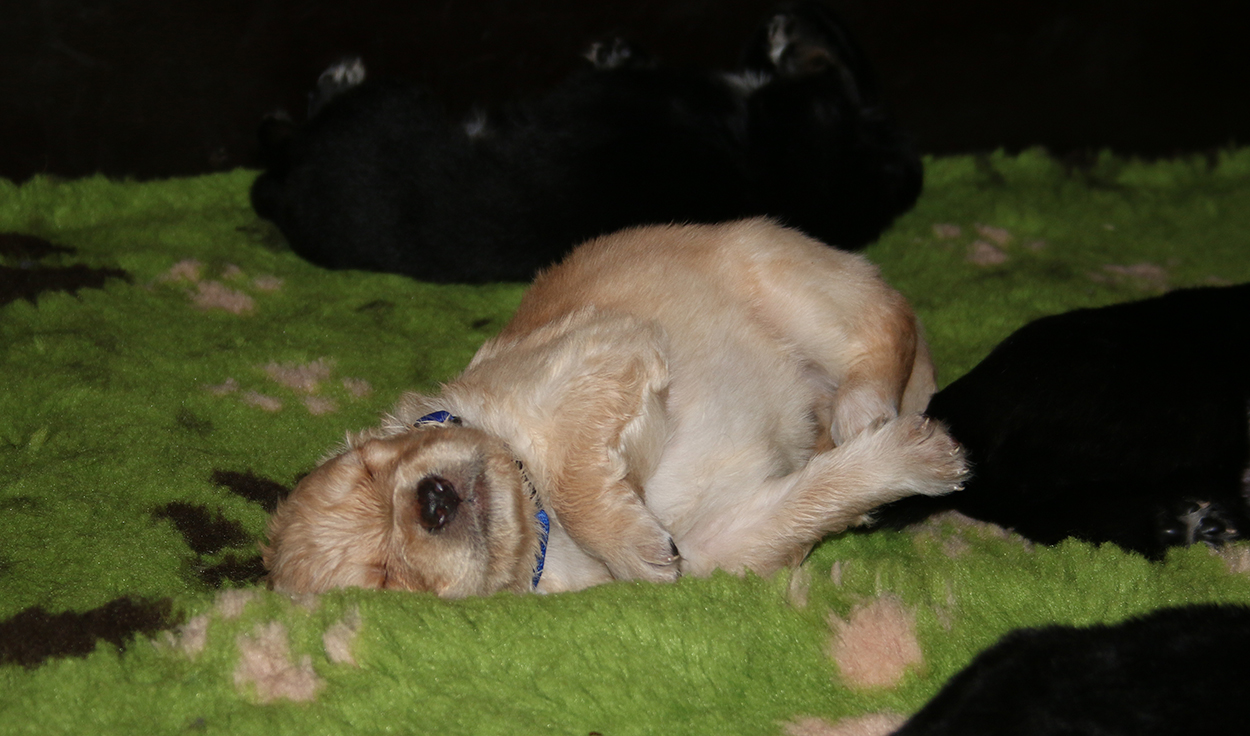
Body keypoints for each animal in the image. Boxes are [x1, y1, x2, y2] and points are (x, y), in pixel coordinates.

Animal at [262, 218, 967, 596]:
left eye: (373, 468)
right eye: (387, 581)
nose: (431, 500)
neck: (540, 521)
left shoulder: (601, 350)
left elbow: (577, 474)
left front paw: (629, 543)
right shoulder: (726, 540)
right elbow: (816, 498)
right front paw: (919, 460)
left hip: (788, 280)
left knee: (888, 322)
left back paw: (862, 407)